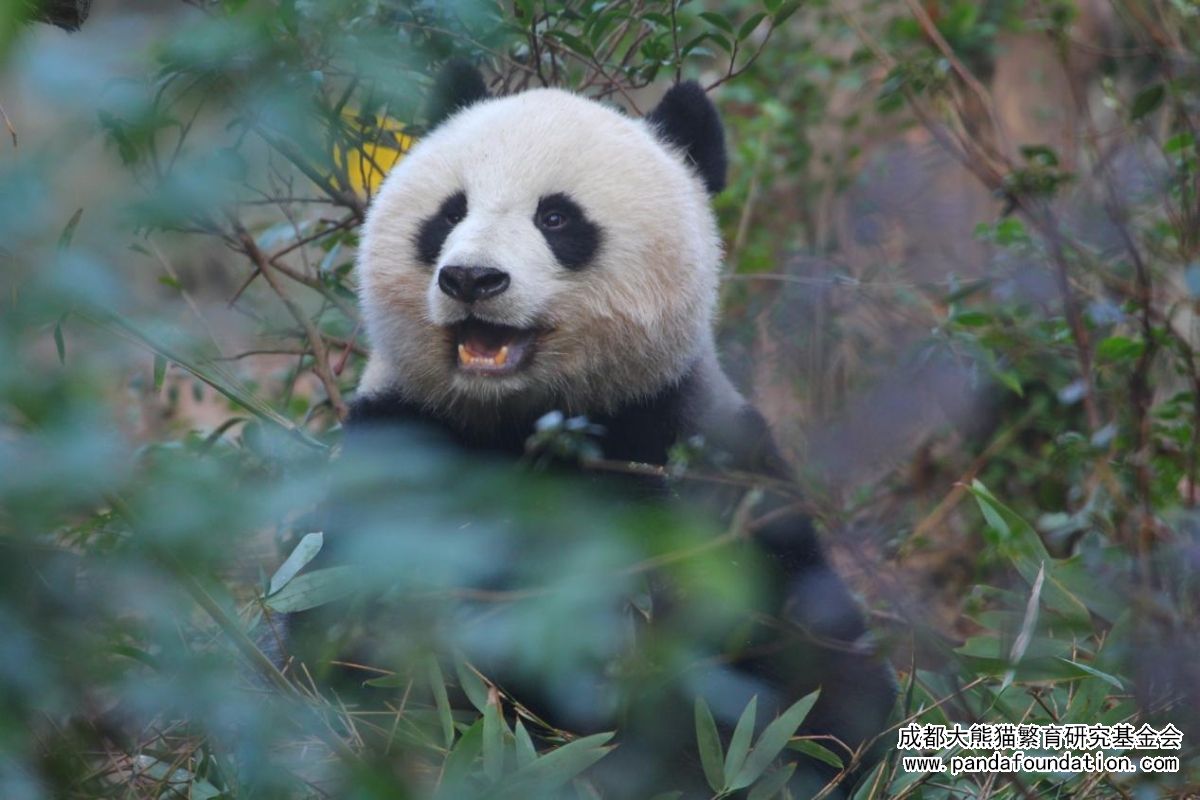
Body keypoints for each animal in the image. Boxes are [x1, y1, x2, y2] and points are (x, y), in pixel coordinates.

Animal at [296, 63, 895, 798]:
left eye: (556, 217)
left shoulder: (691, 451)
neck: (526, 420)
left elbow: (779, 657)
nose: (471, 278)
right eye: (450, 213)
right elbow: (349, 627)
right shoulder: (402, 443)